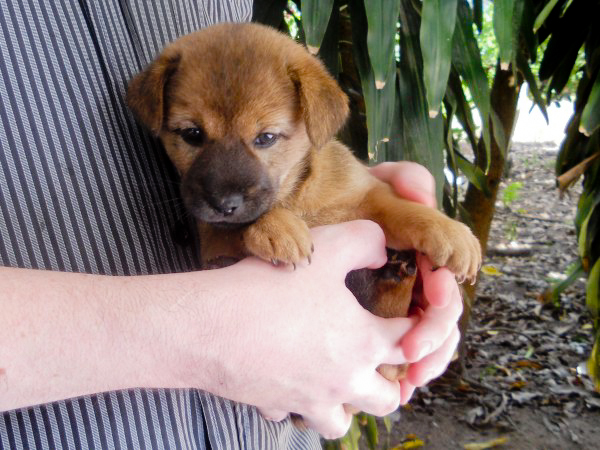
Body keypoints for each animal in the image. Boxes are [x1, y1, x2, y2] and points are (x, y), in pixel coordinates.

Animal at [127, 22, 482, 374]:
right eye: (192, 134)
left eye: (266, 137)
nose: (224, 205)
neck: (296, 198)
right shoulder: (212, 240)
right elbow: (240, 228)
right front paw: (277, 228)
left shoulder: (365, 193)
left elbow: (401, 208)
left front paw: (451, 233)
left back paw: (400, 270)